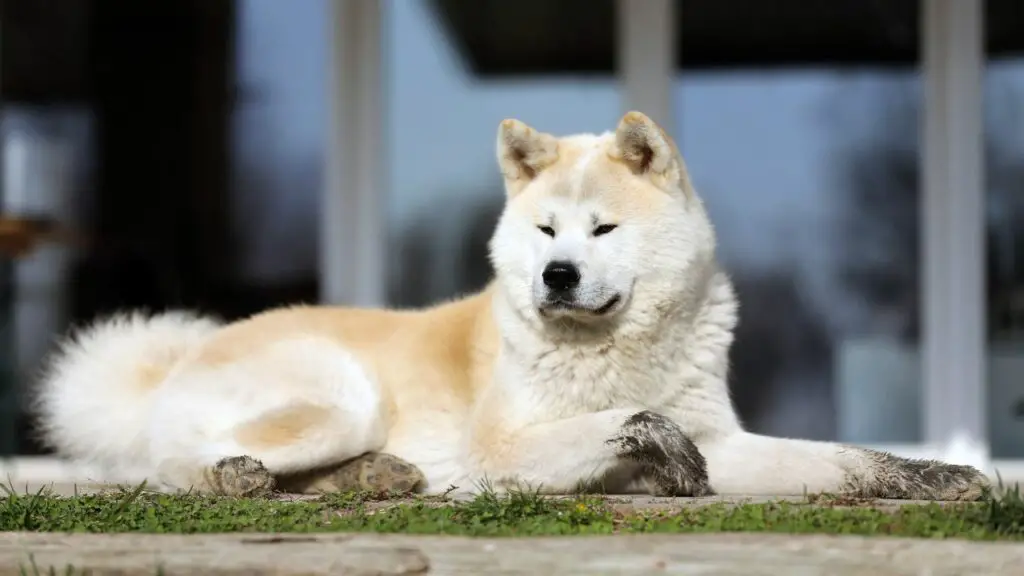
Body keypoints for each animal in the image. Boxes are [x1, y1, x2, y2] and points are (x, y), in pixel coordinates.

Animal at [36, 112, 987, 498]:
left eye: (602, 229)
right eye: (545, 230)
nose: (557, 276)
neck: (618, 350)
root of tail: (176, 362)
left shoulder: (729, 444)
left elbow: (845, 460)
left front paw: (937, 477)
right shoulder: (499, 450)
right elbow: (629, 422)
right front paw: (648, 444)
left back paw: (373, 479)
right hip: (341, 398)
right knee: (165, 464)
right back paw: (237, 477)